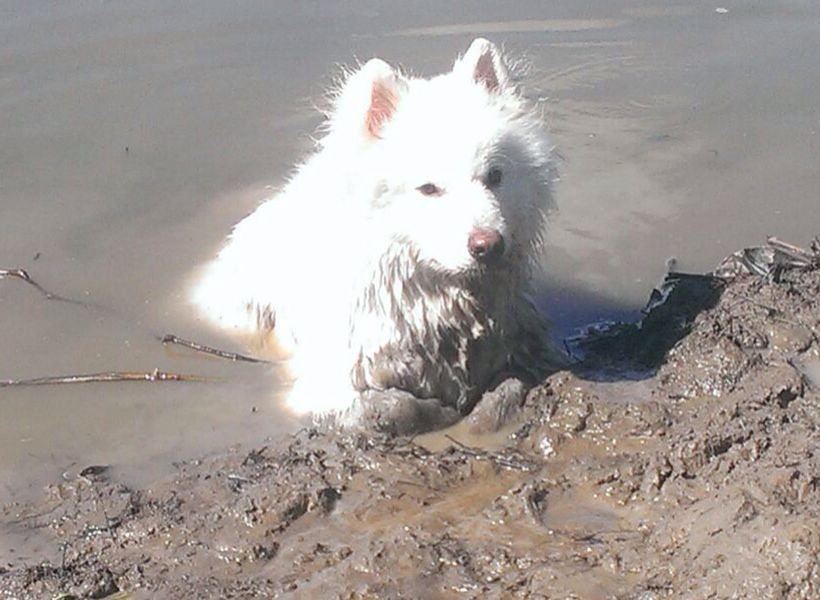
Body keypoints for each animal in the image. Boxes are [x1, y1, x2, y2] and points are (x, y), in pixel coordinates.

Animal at [192, 38, 556, 426]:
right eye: (429, 189)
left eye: (494, 176)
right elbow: (393, 404)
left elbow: (510, 384)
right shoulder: (323, 388)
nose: (488, 245)